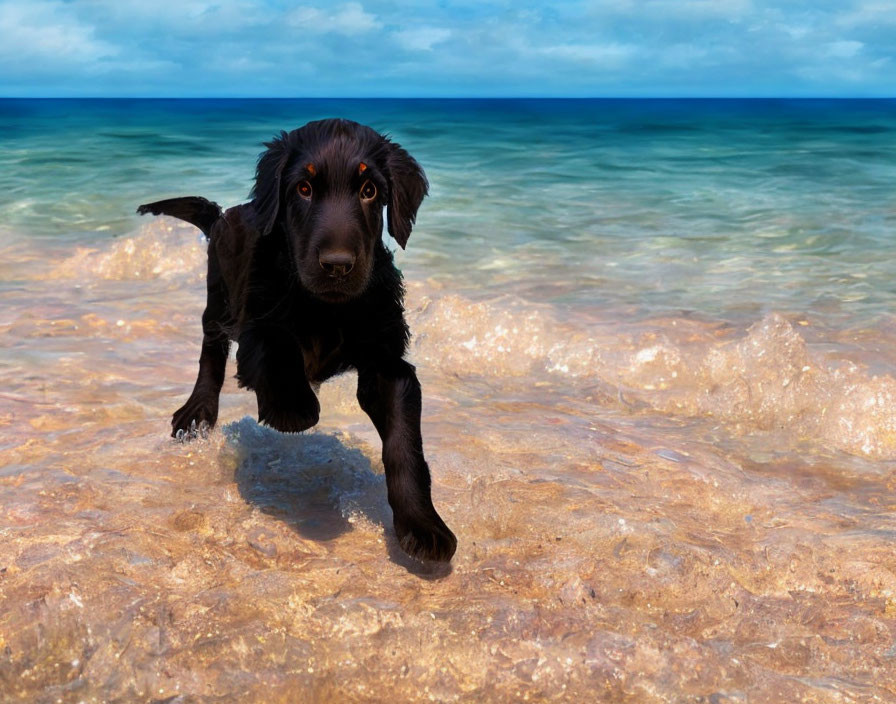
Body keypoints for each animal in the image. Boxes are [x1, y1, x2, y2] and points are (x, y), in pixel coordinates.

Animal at [139, 118, 458, 564]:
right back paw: (197, 411)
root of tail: (224, 214)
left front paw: (423, 526)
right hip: (220, 296)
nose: (337, 266)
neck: (328, 308)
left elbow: (404, 444)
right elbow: (277, 345)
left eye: (370, 190)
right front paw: (293, 408)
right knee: (211, 351)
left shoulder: (386, 360)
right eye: (303, 189)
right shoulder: (257, 316)